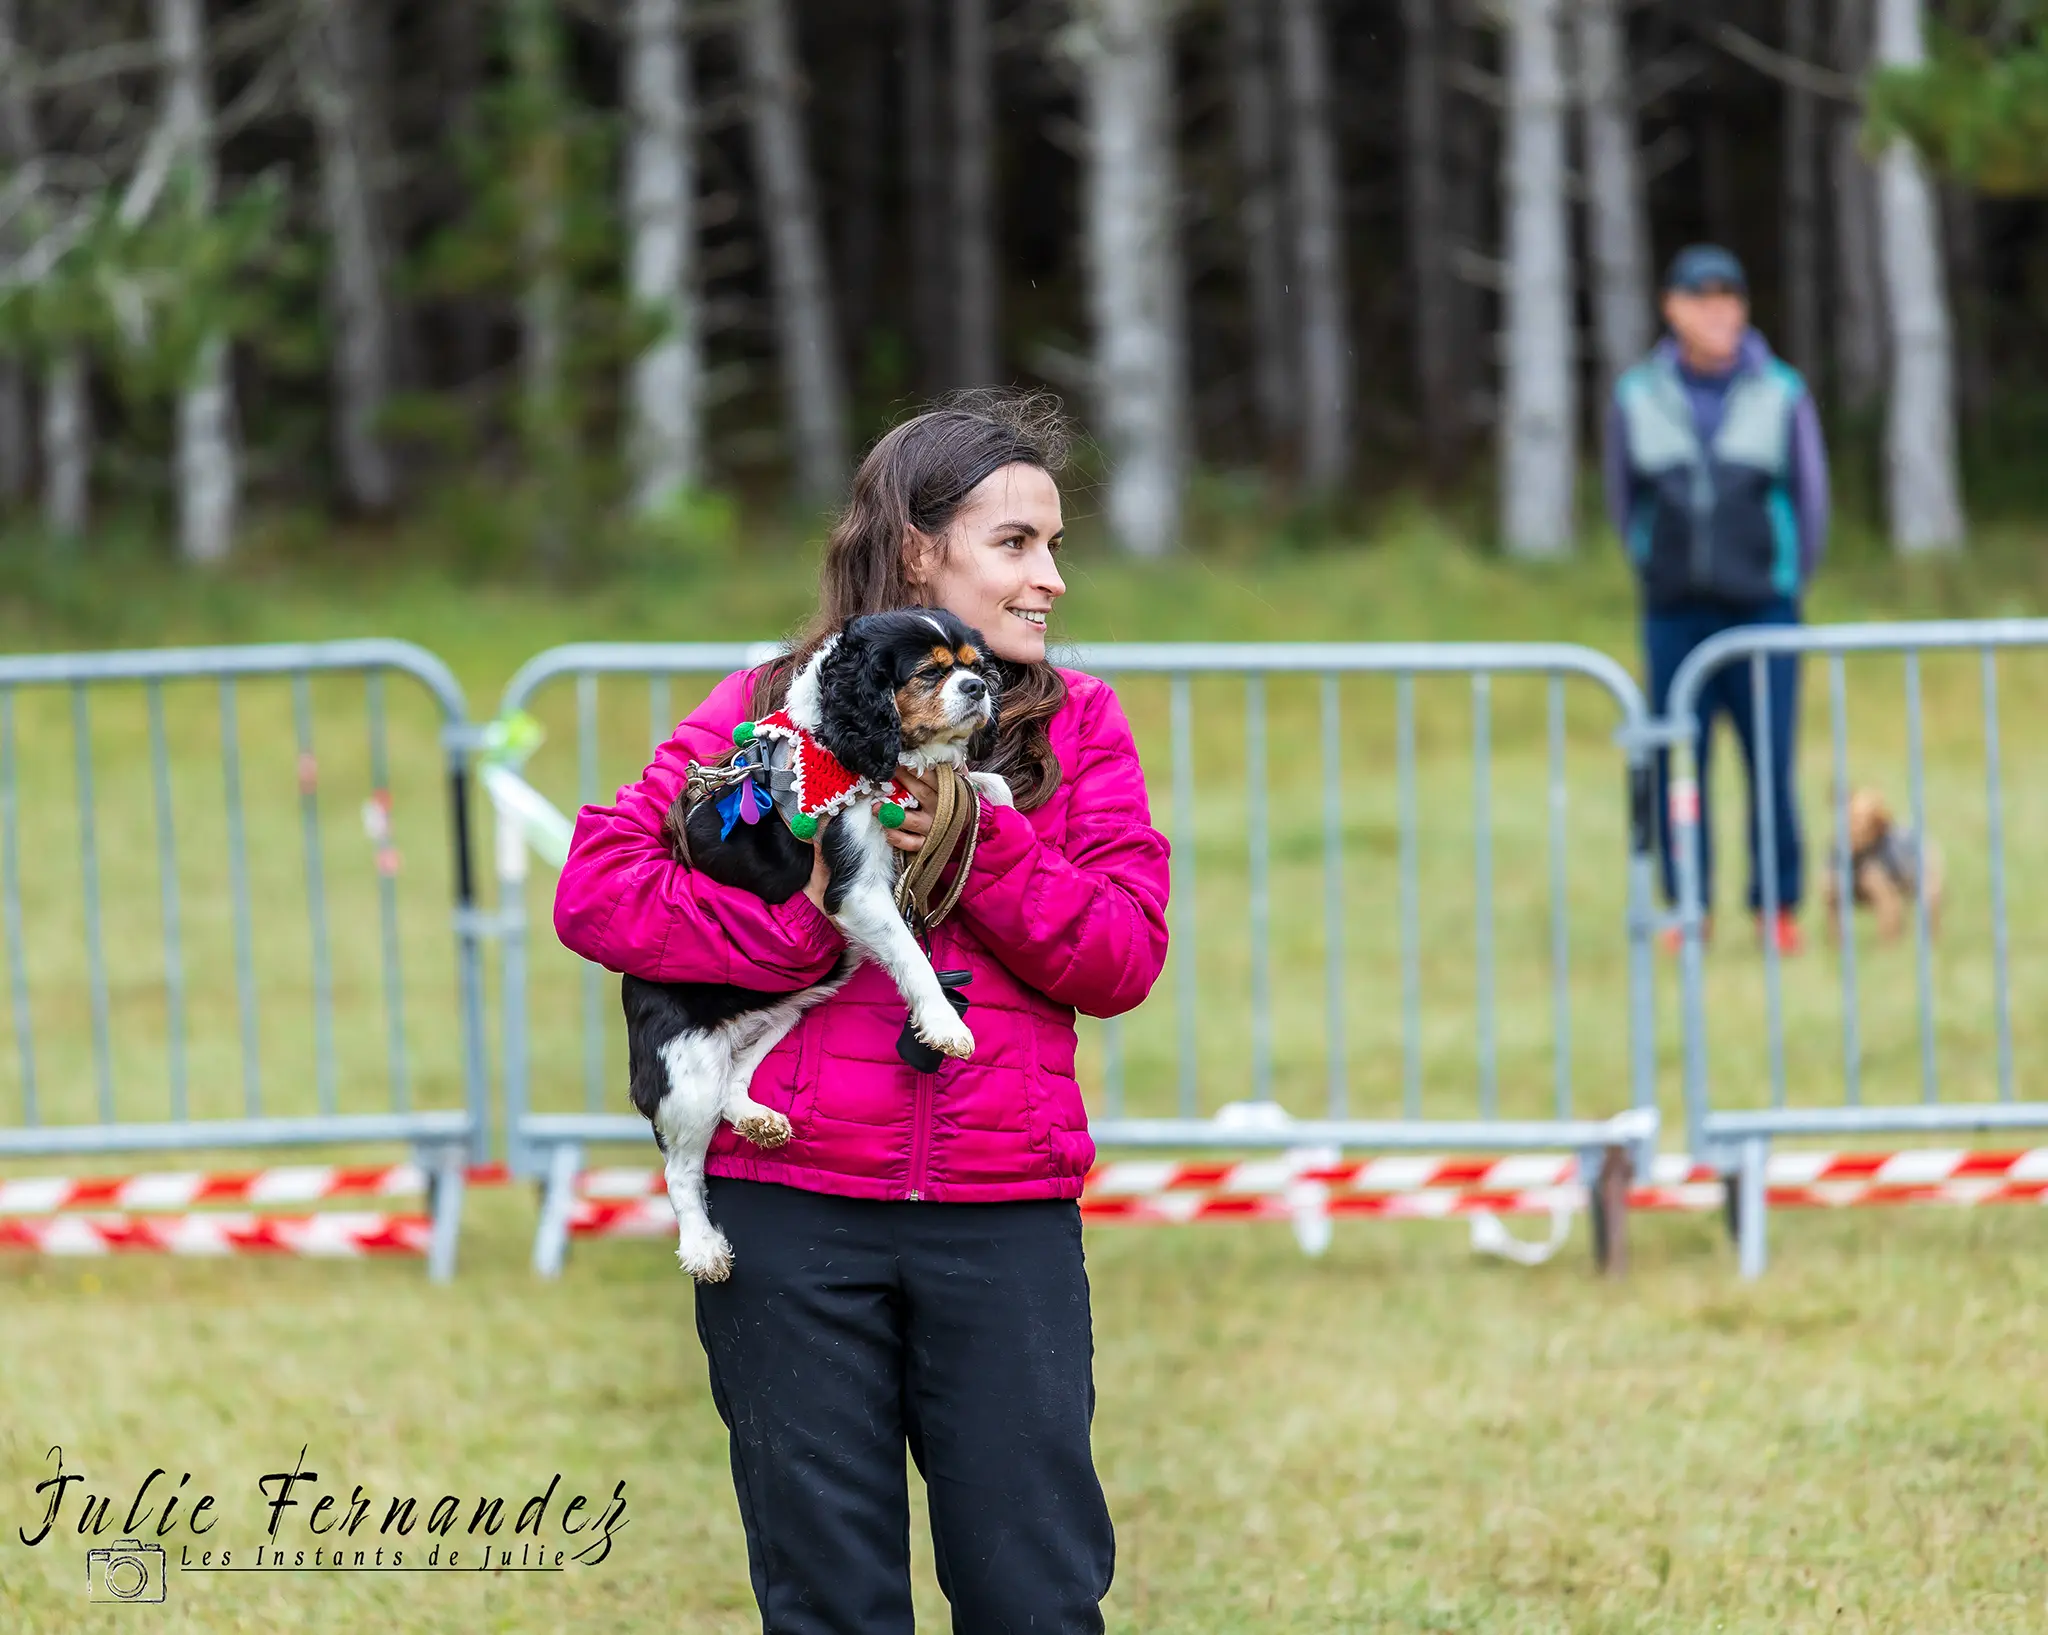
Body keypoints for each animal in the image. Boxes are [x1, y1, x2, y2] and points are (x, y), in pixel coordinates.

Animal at [1826, 790, 1949, 942]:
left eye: (1879, 805)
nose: (1886, 821)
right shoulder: (1832, 901)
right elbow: (1834, 933)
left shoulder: (1886, 901)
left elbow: (1886, 934)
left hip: (1926, 892)